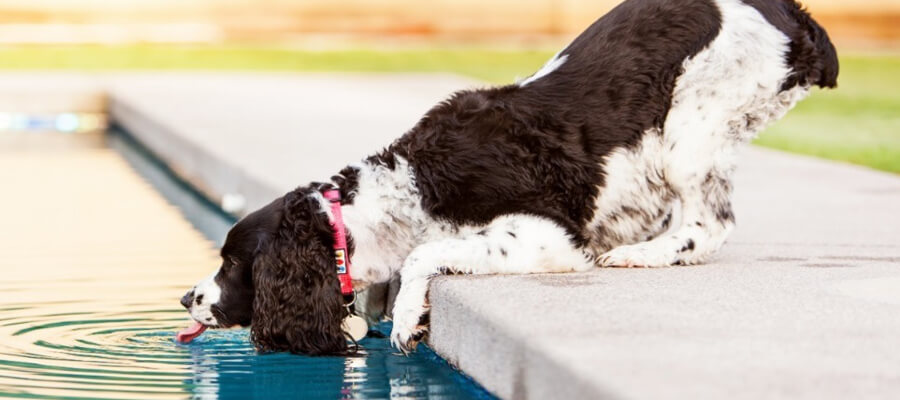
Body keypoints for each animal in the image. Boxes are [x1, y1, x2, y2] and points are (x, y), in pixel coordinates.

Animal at [181, 0, 836, 356]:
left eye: (233, 264)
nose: (188, 297)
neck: (404, 190)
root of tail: (797, 18)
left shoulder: (546, 235)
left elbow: (423, 257)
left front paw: (407, 318)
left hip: (691, 127)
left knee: (710, 222)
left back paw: (644, 253)